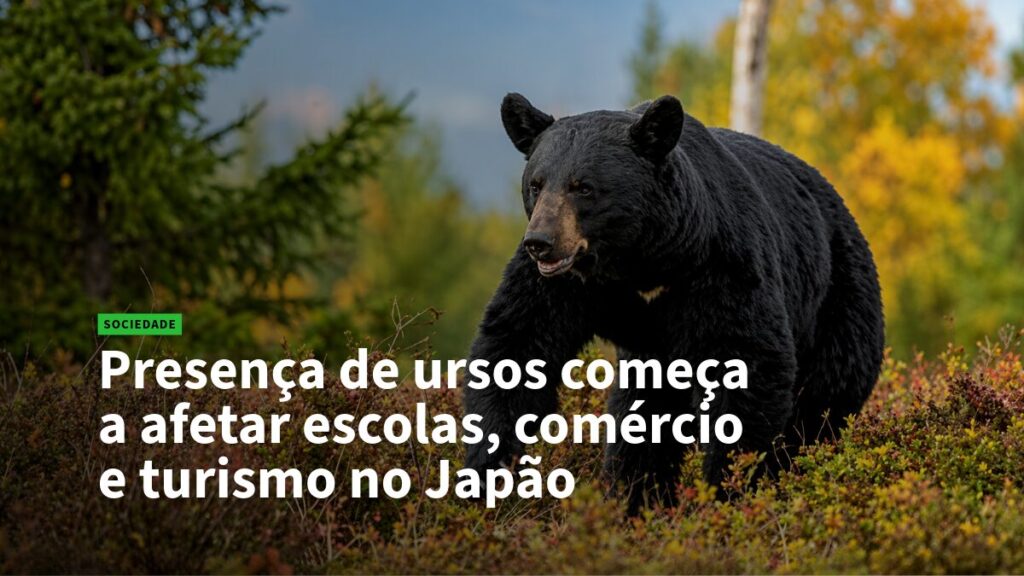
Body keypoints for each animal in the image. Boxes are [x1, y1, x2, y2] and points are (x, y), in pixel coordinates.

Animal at [463, 93, 884, 512]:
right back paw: (636, 496)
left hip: (839, 297)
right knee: (642, 415)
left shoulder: (722, 266)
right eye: (535, 184)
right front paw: (487, 473)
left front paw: (726, 487)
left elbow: (746, 365)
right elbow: (516, 344)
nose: (541, 242)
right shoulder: (563, 286)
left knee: (823, 399)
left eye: (583, 187)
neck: (642, 261)